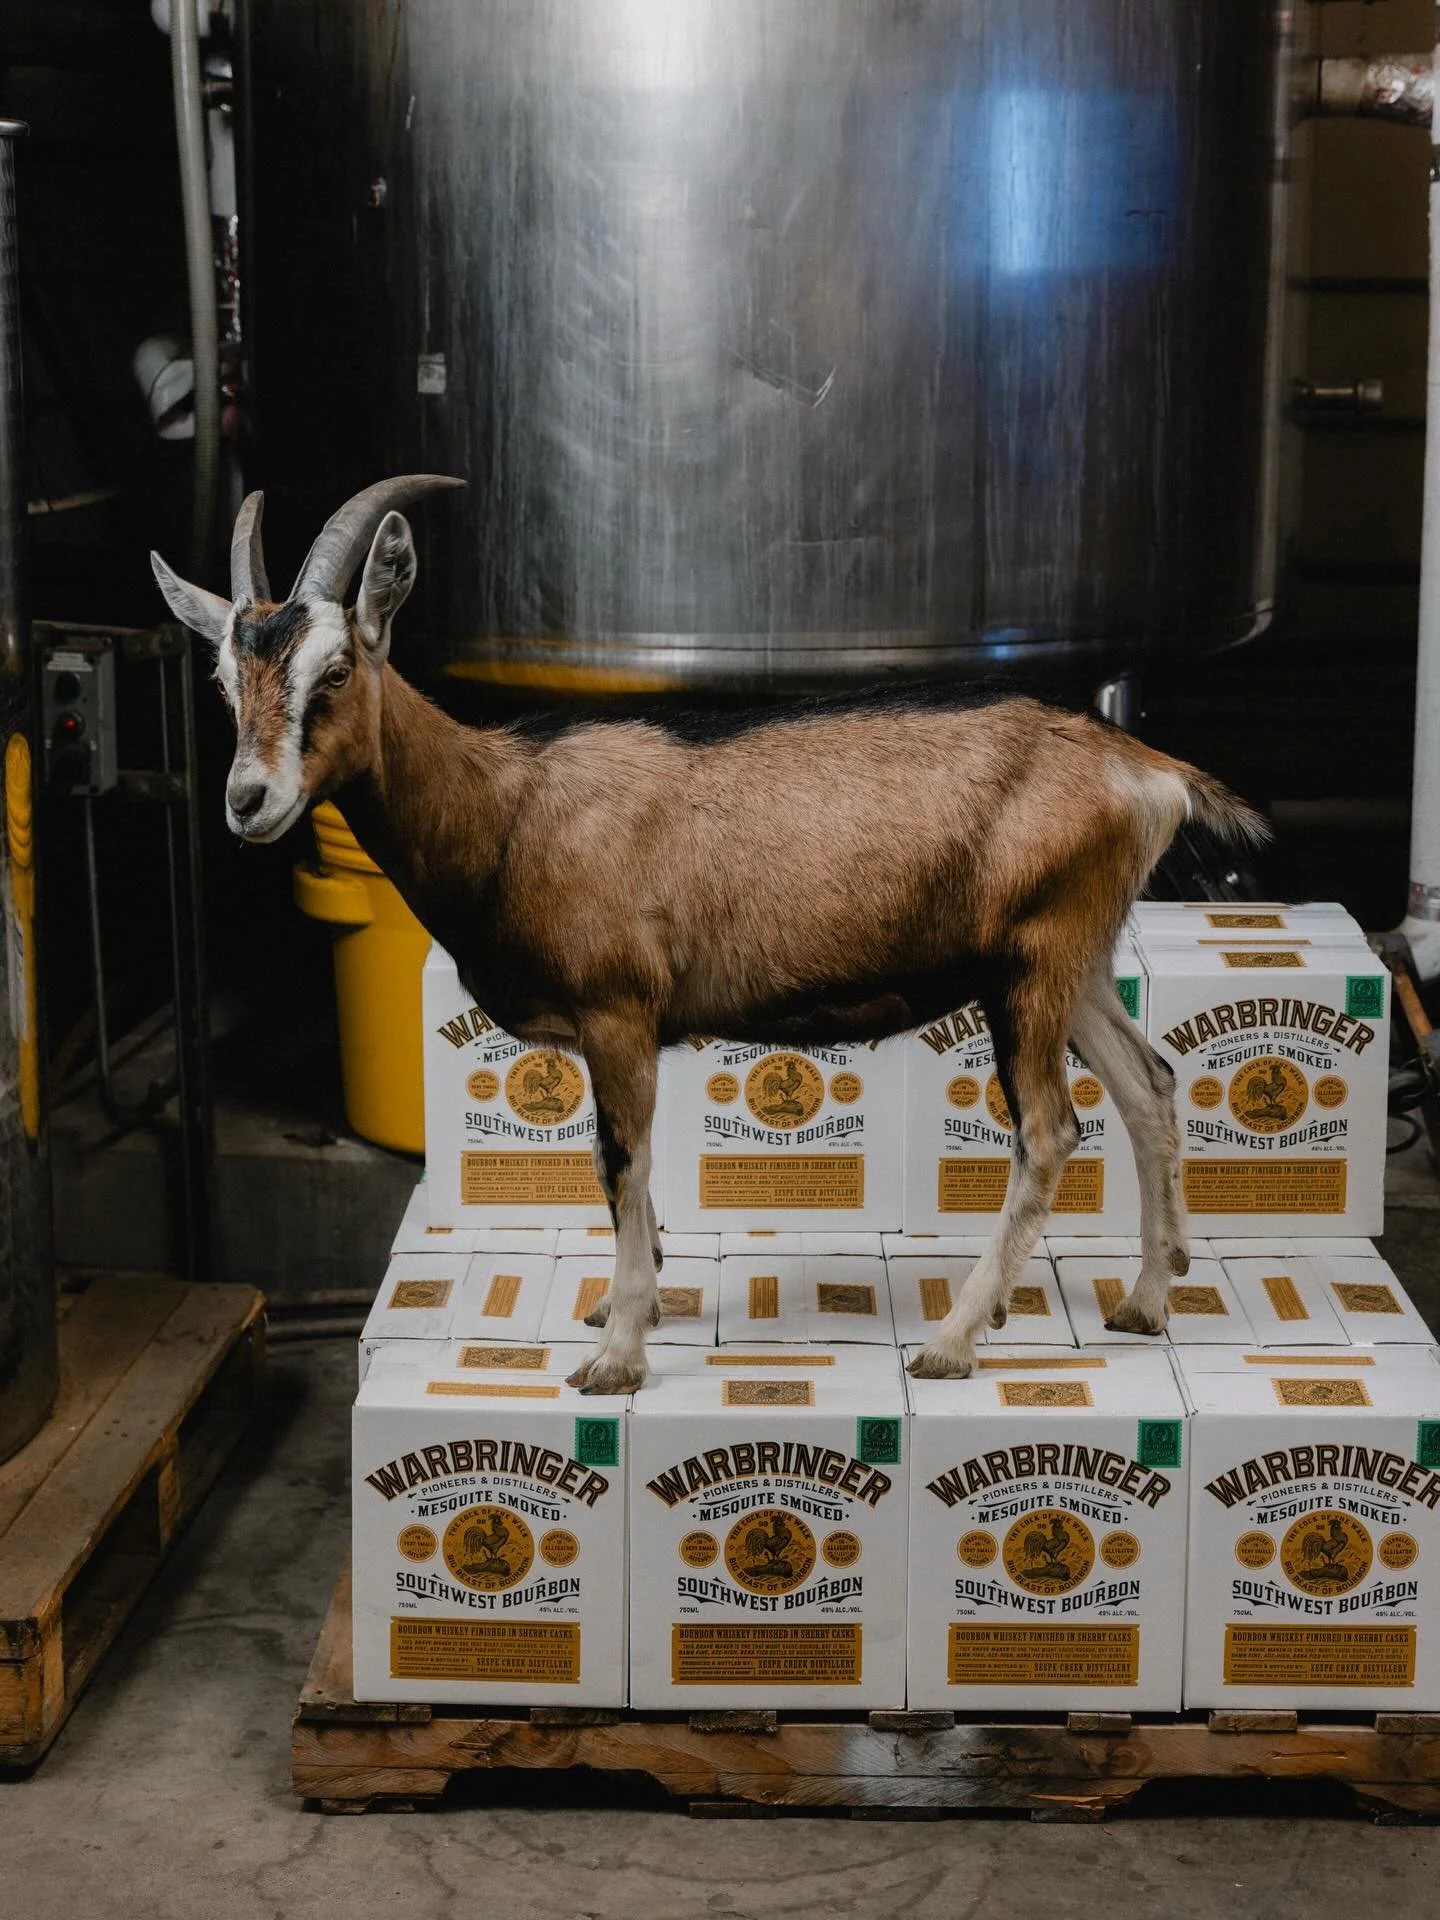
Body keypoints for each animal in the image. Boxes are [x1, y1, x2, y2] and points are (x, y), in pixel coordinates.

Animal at [152, 475, 1267, 1394]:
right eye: (225, 682)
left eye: (337, 669)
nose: (247, 803)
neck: (512, 807)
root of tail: (1146, 768)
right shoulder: (609, 1028)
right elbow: (622, 1169)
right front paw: (622, 1304)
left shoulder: (618, 1011)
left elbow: (621, 1162)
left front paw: (617, 1353)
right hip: (1075, 959)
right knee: (1150, 1083)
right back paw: (1146, 1299)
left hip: (1032, 964)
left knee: (1051, 1132)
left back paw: (954, 1340)